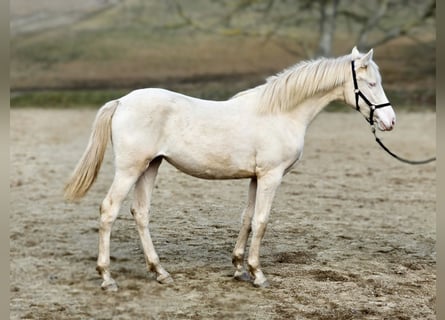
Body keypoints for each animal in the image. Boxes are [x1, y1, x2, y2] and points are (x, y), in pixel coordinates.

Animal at [64, 47, 394, 290]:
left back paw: (160, 272)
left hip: (150, 167)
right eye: (371, 84)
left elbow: (247, 219)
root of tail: (122, 101)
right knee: (109, 210)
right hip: (130, 169)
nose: (390, 121)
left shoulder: (255, 178)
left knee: (141, 214)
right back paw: (107, 277)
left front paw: (238, 267)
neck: (280, 113)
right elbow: (261, 221)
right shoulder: (271, 176)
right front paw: (257, 273)